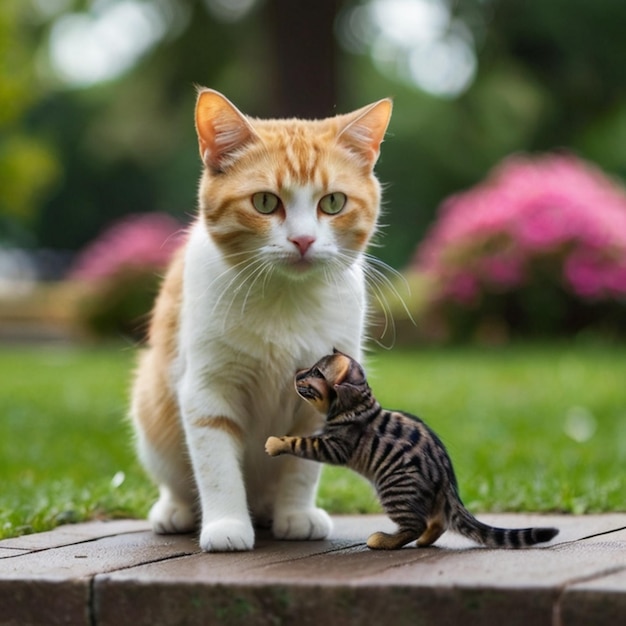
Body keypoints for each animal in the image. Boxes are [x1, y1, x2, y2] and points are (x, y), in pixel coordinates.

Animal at [130, 89, 390, 552]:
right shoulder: (207, 389)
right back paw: (176, 512)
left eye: (333, 202)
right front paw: (226, 525)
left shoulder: (322, 401)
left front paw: (296, 515)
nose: (303, 240)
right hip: (151, 410)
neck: (285, 300)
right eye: (266, 202)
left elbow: (303, 469)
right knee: (177, 483)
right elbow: (217, 468)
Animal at [266, 348, 560, 548]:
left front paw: (276, 442)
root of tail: (447, 481)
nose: (297, 373)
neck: (360, 406)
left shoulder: (335, 446)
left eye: (314, 373)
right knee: (438, 522)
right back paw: (426, 539)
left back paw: (384, 540)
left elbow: (301, 442)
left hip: (394, 489)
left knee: (415, 525)